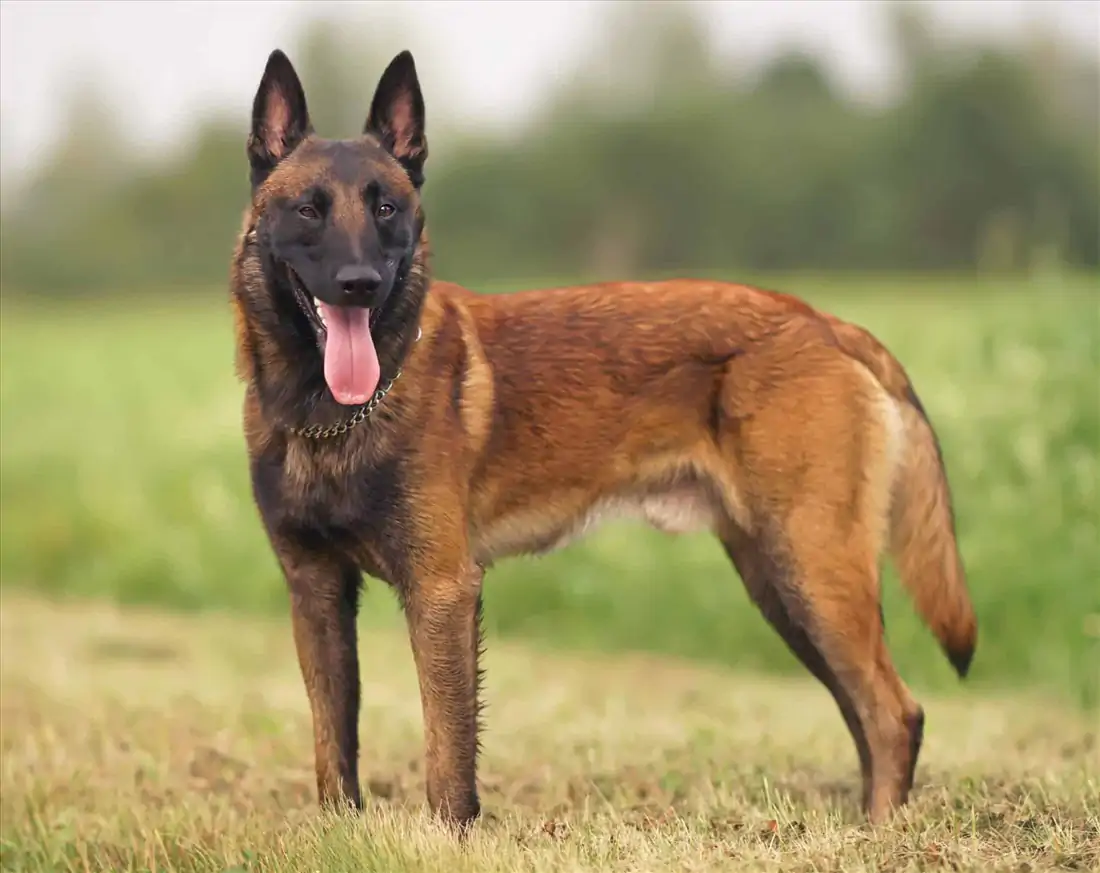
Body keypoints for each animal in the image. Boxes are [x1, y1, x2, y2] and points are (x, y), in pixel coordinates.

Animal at [232, 47, 981, 831]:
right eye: (309, 209)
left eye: (386, 208)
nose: (360, 284)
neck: (328, 415)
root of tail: (826, 322)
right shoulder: (316, 592)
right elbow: (334, 746)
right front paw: (339, 834)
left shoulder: (440, 591)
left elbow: (447, 754)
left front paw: (447, 838)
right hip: (783, 585)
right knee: (865, 711)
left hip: (813, 570)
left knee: (893, 713)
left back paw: (881, 833)